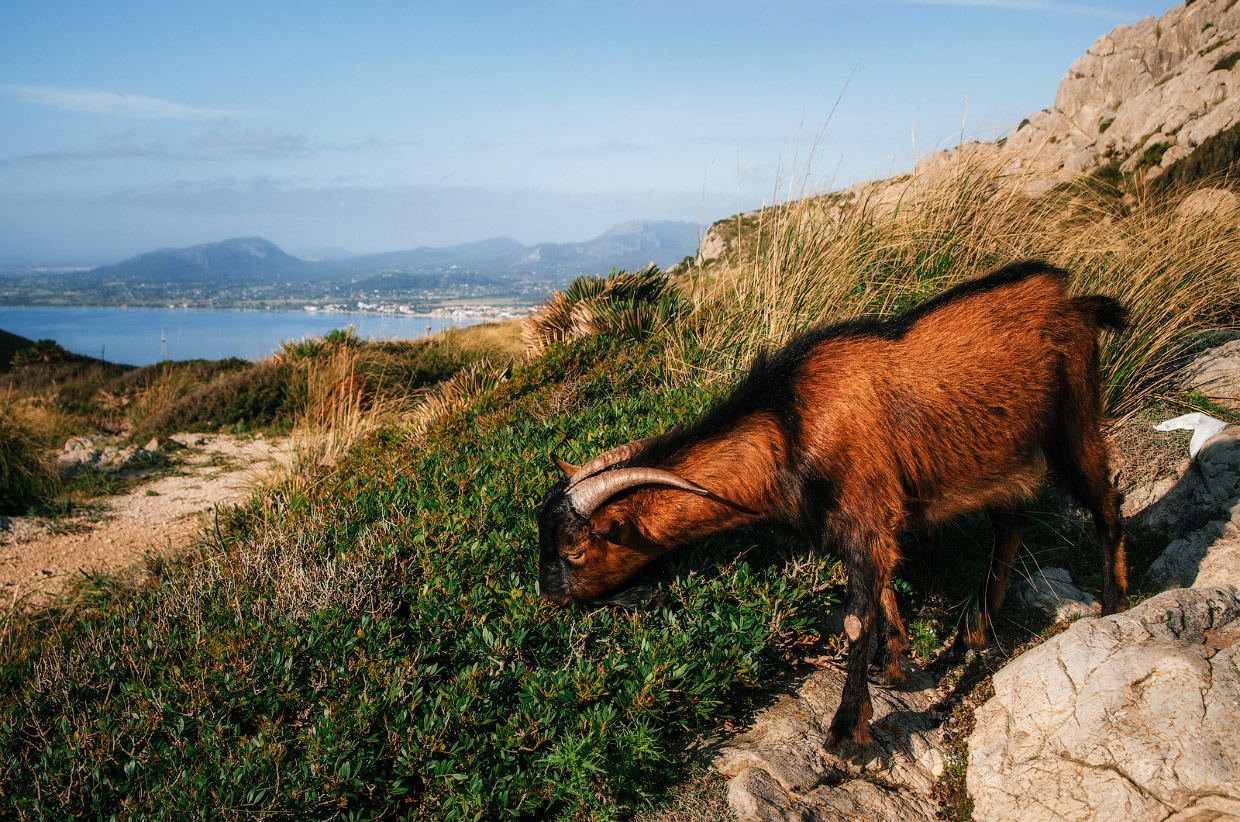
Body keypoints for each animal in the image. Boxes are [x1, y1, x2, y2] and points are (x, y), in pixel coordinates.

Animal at [533, 260, 1125, 748]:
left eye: (576, 552)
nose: (549, 598)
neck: (791, 424)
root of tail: (1078, 301)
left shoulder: (867, 510)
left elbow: (856, 619)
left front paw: (846, 733)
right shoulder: (863, 522)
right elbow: (881, 591)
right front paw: (895, 663)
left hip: (1073, 412)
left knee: (1106, 500)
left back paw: (1114, 603)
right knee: (1012, 521)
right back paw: (973, 633)